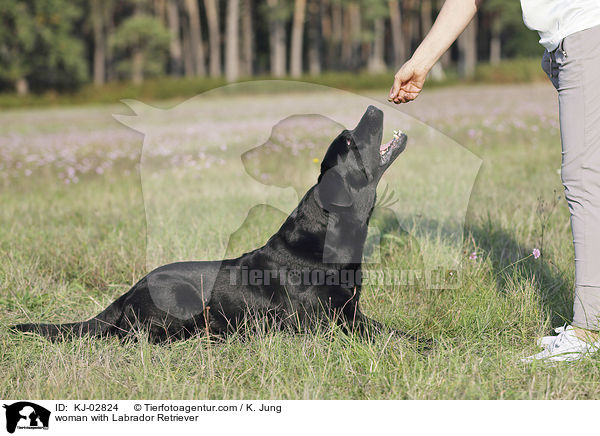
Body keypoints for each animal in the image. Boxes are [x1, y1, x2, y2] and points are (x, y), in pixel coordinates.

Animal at [14, 104, 410, 340]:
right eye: (349, 141)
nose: (374, 107)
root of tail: (129, 290)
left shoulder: (353, 313)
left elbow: (396, 332)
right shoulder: (326, 325)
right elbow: (387, 337)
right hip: (179, 306)